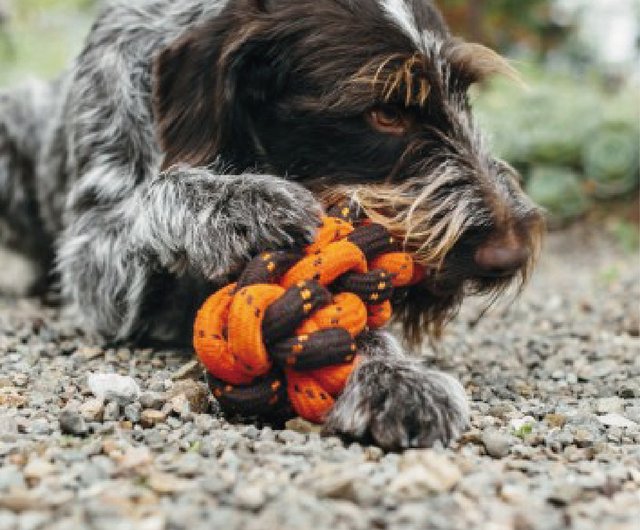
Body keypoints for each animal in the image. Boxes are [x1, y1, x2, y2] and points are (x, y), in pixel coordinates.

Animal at [0, 0, 544, 448]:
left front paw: (390, 373)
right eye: (385, 113)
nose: (512, 251)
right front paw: (243, 202)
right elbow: (156, 194)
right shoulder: (95, 263)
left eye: (464, 98)